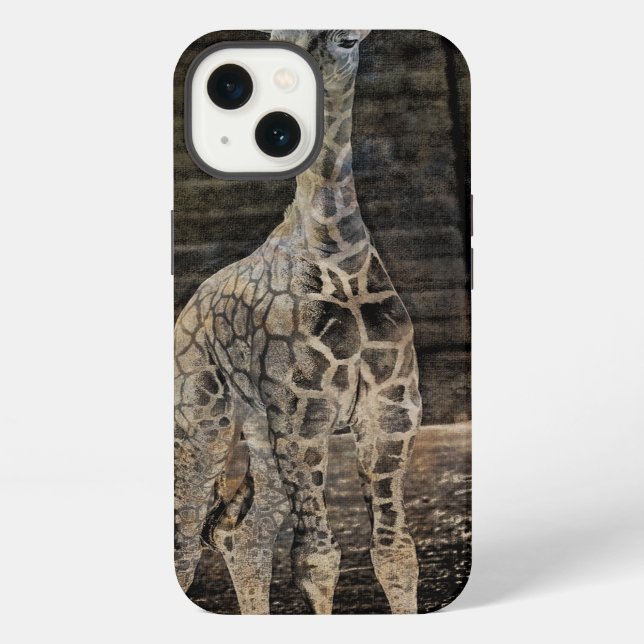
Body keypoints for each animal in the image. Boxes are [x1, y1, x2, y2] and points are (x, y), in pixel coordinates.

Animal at [174, 29, 421, 614]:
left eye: (348, 39)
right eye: (277, 41)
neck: (342, 257)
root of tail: (189, 305)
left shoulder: (392, 411)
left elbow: (395, 552)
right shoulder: (304, 416)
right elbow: (316, 559)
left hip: (260, 431)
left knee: (242, 535)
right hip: (203, 419)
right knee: (187, 538)